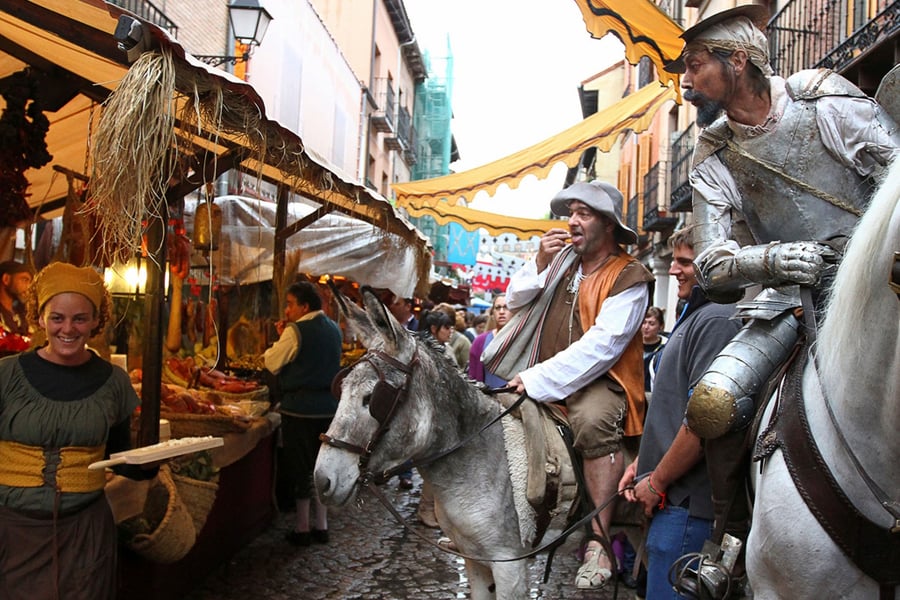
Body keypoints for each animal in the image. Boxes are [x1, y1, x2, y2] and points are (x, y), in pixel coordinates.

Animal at [312, 290, 572, 596]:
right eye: (339, 389)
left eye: (372, 398)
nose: (322, 480)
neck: (479, 460)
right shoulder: (475, 560)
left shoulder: (510, 565)